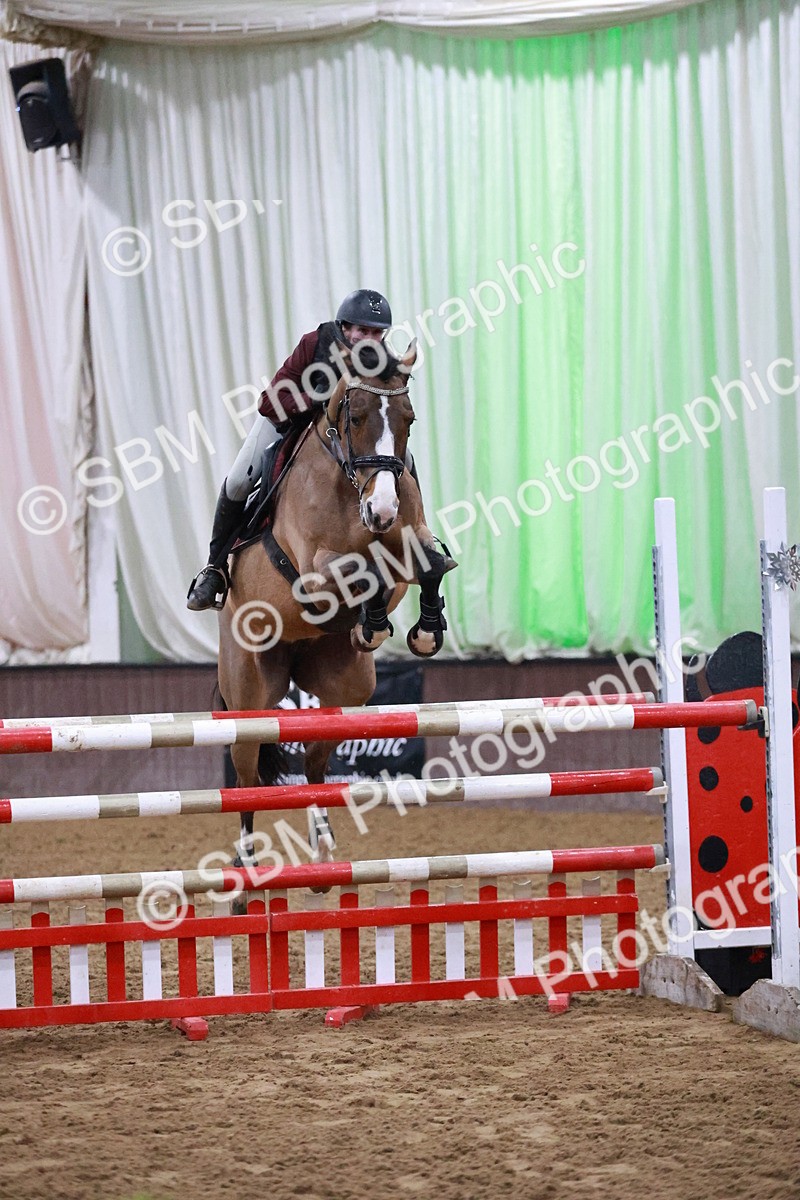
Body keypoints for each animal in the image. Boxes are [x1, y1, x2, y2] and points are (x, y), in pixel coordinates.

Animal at [217, 339, 456, 871]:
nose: (381, 510)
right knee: (247, 780)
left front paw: (422, 630)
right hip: (250, 697)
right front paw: (375, 622)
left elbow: (429, 563)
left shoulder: (410, 537)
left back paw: (323, 851)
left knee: (312, 762)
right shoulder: (312, 569)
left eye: (409, 418)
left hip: (345, 690)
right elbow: (360, 569)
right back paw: (247, 864)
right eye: (357, 416)